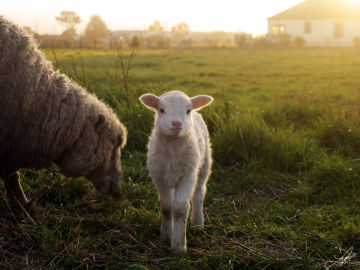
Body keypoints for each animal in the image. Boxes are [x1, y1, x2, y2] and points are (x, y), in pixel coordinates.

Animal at [0, 15, 127, 208]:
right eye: (113, 143)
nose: (117, 185)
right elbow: (12, 176)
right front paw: (21, 205)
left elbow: (12, 176)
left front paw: (20, 206)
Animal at [140, 90, 214, 253]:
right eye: (161, 110)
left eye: (188, 110)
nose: (176, 124)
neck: (173, 146)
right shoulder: (159, 176)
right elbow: (166, 207)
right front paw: (166, 235)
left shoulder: (188, 175)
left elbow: (180, 208)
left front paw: (179, 246)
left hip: (203, 164)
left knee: (199, 194)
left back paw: (198, 223)